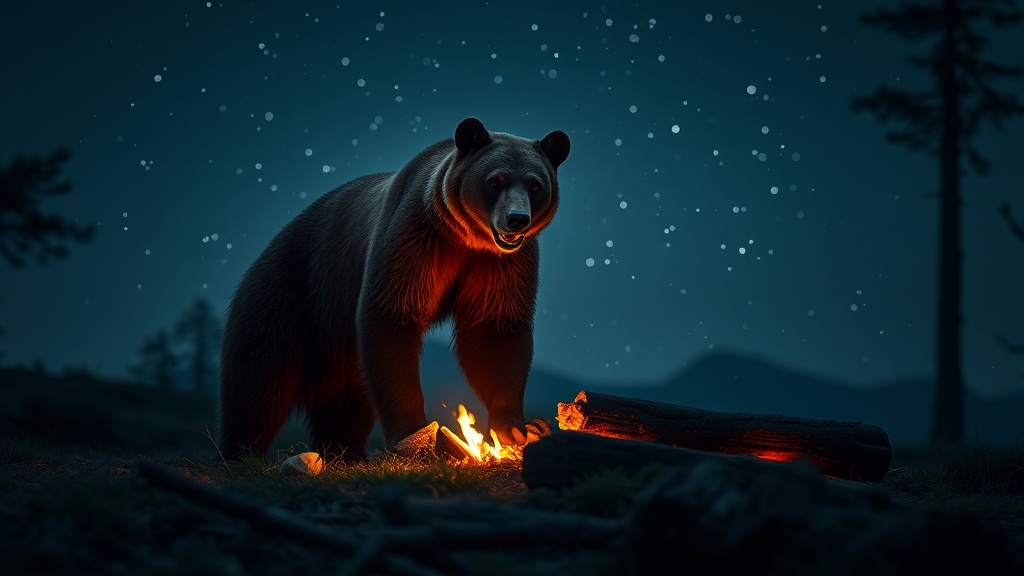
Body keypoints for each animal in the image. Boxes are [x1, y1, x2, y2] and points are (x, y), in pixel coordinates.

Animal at [218, 117, 570, 461]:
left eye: (534, 185)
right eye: (495, 181)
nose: (516, 219)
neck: (465, 237)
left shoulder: (500, 264)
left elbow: (495, 329)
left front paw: (518, 428)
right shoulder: (414, 237)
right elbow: (391, 315)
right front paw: (415, 433)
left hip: (339, 348)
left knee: (346, 398)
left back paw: (347, 451)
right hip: (289, 296)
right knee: (259, 383)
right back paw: (241, 452)